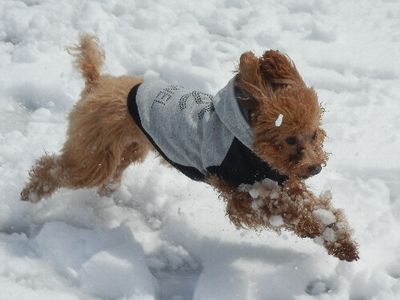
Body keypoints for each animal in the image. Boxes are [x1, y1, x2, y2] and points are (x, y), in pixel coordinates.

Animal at [20, 34, 360, 260]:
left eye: (314, 135)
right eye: (289, 138)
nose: (315, 167)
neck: (249, 144)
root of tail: (97, 83)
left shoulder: (280, 178)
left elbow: (315, 207)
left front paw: (341, 239)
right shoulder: (243, 196)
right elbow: (289, 212)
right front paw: (322, 230)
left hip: (128, 148)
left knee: (109, 171)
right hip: (95, 155)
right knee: (56, 168)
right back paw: (31, 193)